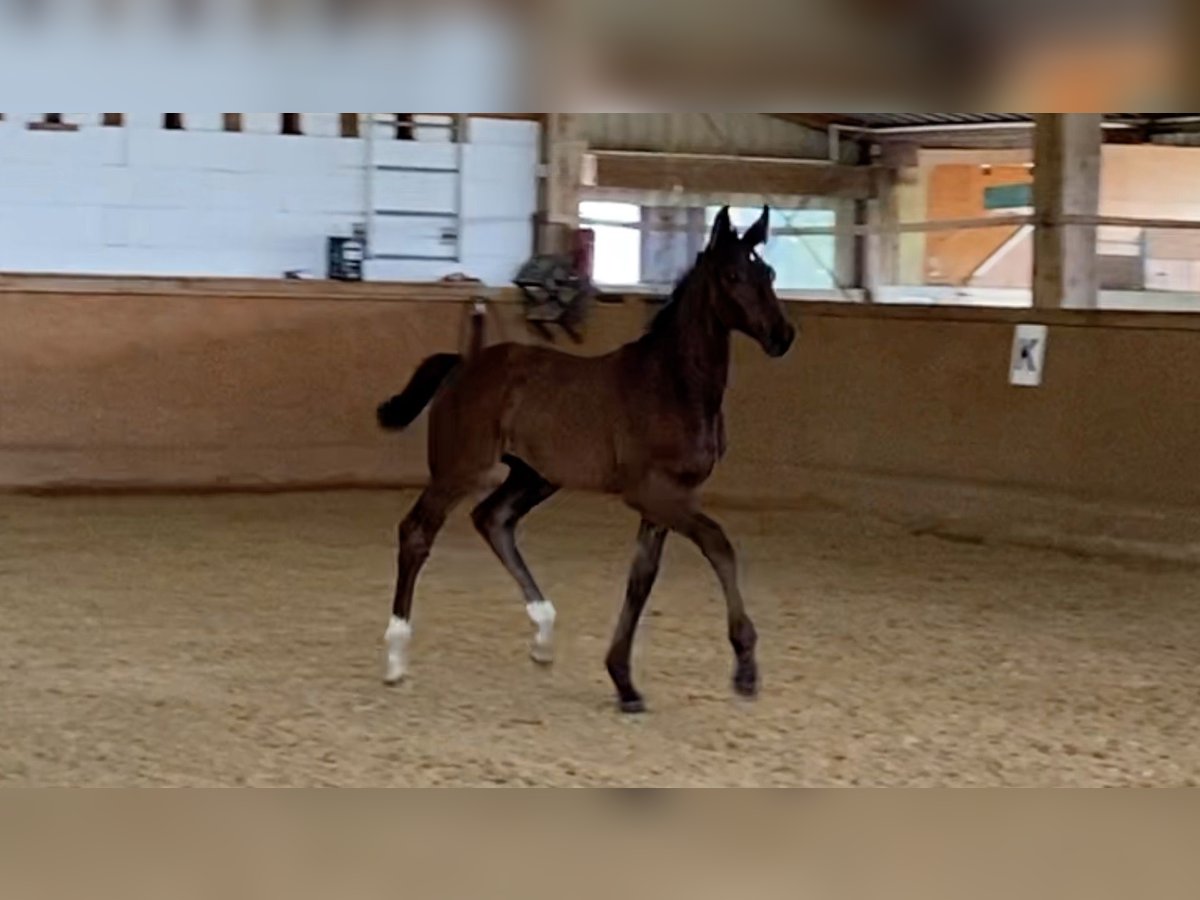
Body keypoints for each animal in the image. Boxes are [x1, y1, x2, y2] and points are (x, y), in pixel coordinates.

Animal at [374, 207, 796, 715]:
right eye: (733, 275)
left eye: (768, 273)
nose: (783, 336)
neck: (673, 384)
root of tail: (463, 364)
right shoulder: (652, 492)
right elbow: (718, 545)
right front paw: (745, 667)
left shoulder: (666, 500)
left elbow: (641, 579)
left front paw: (624, 683)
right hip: (461, 468)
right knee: (417, 532)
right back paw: (396, 657)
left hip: (534, 476)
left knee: (492, 520)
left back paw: (543, 634)